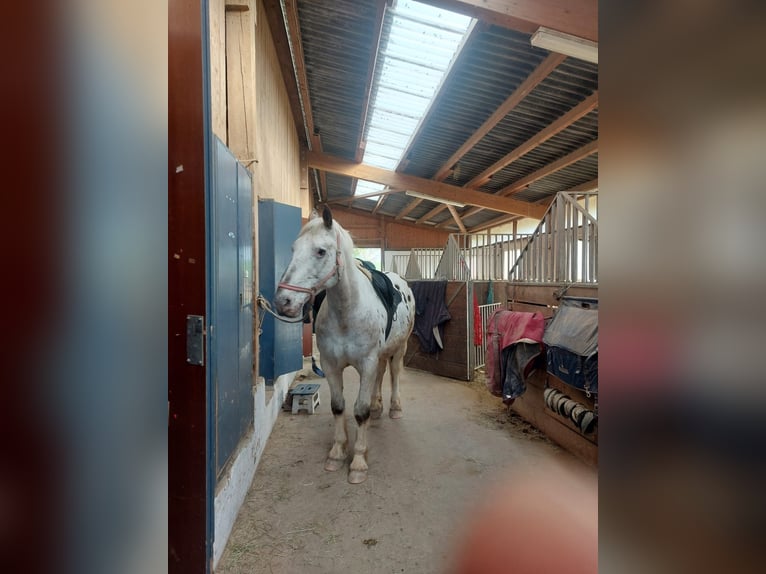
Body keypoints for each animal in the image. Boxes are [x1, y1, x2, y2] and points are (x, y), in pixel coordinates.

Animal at [274, 206, 415, 484]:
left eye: (321, 251)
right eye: (294, 249)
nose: (284, 301)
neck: (347, 313)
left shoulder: (366, 363)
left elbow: (359, 410)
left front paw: (358, 462)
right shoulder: (331, 365)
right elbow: (338, 406)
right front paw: (337, 453)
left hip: (399, 348)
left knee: (393, 374)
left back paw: (394, 408)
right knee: (381, 374)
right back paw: (378, 407)